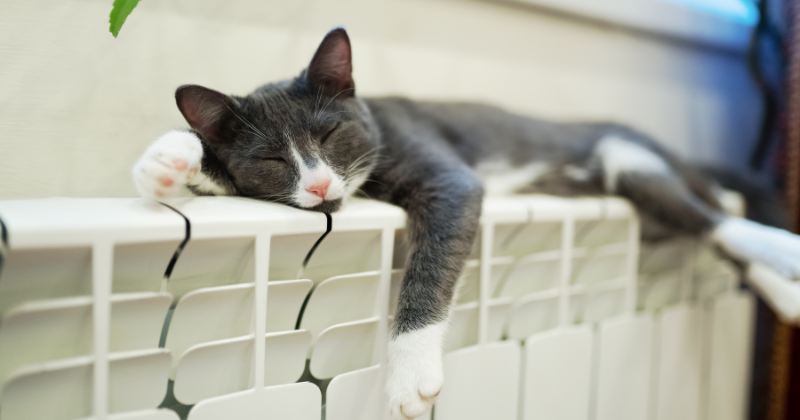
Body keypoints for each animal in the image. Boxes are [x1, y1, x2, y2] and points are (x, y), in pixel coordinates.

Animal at [131, 27, 800, 420]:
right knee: (708, 226)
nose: (319, 185)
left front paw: (410, 373)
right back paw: (786, 289)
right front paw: (167, 163)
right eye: (272, 161)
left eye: (330, 132)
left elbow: (430, 266)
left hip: (628, 157)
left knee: (717, 219)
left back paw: (783, 255)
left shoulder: (445, 175)